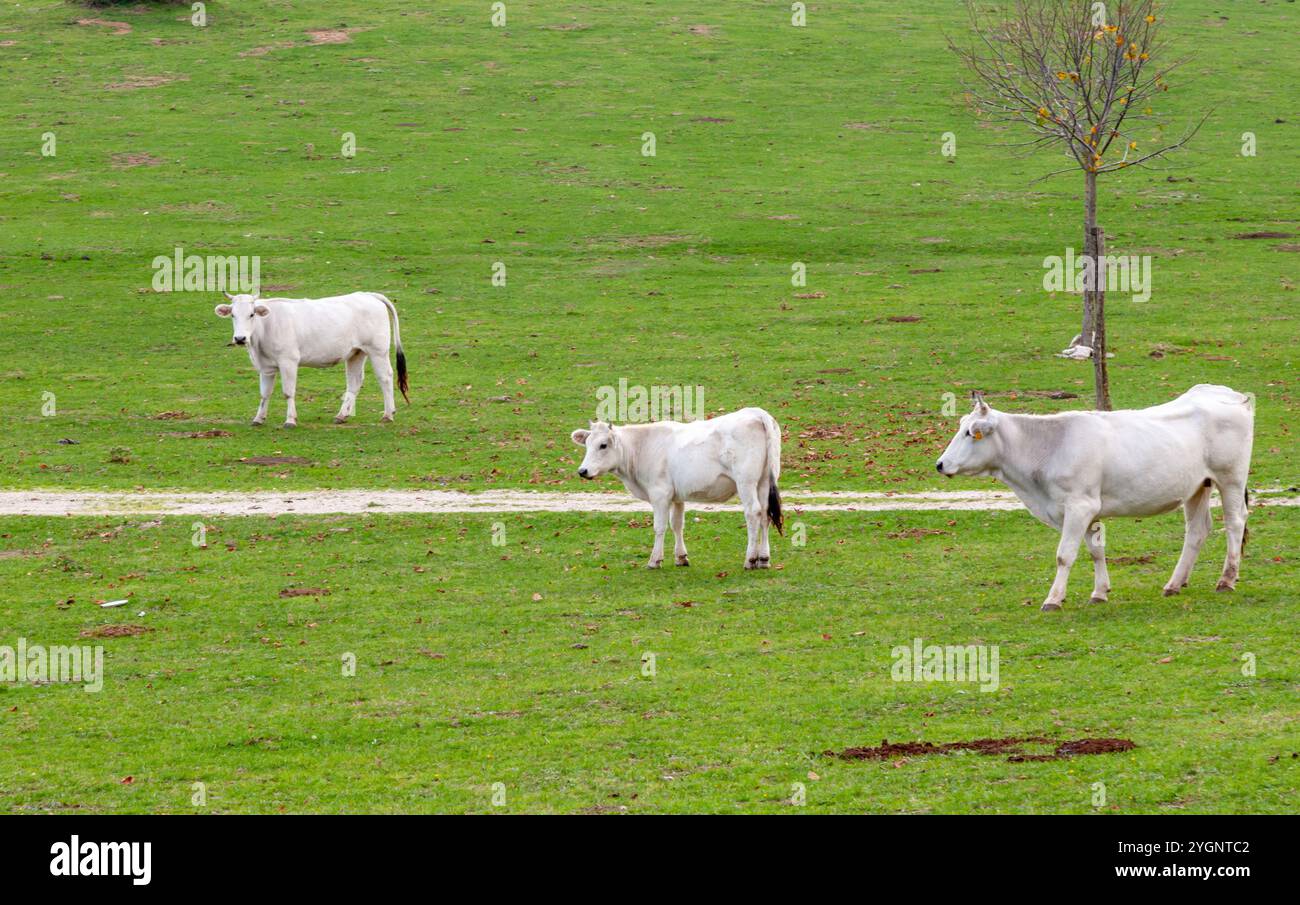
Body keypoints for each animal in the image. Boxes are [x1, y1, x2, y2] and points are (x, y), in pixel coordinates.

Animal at [214, 291, 408, 427]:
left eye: (252, 314)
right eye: (232, 315)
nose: (240, 338)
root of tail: (368, 294)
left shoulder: (288, 361)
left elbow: (288, 392)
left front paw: (290, 420)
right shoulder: (265, 367)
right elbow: (265, 393)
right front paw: (258, 418)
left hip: (378, 350)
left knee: (385, 377)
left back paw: (388, 414)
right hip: (356, 352)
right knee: (355, 382)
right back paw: (342, 415)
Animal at [570, 407, 784, 570]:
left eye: (603, 445)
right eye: (587, 444)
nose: (582, 471)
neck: (641, 447)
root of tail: (756, 412)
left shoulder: (659, 493)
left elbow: (659, 526)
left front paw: (654, 560)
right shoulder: (677, 495)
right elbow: (677, 524)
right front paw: (681, 557)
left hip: (746, 481)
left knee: (753, 513)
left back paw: (750, 559)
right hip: (764, 481)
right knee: (765, 514)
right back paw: (764, 559)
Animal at [935, 385, 1254, 611]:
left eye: (970, 432)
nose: (940, 464)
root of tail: (1227, 393)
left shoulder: (1079, 506)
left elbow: (1064, 555)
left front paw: (1053, 599)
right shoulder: (1088, 510)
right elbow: (1096, 551)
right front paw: (1100, 592)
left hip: (1230, 478)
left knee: (1235, 522)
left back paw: (1226, 579)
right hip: (1197, 486)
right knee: (1197, 530)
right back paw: (1174, 584)